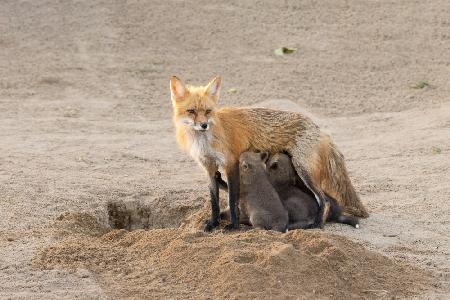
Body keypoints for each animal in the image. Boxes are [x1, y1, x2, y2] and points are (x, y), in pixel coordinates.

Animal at [171, 76, 368, 231]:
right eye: (191, 111)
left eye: (208, 111)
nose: (203, 125)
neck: (205, 140)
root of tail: (319, 129)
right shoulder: (209, 167)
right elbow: (214, 202)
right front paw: (213, 223)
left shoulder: (231, 163)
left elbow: (233, 200)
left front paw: (233, 226)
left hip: (303, 170)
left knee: (324, 200)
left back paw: (317, 225)